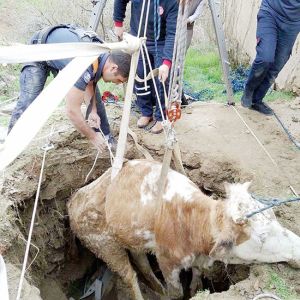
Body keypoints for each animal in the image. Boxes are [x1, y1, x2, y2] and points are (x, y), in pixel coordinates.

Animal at [67, 158, 300, 298]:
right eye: (262, 236)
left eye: (274, 215)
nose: (298, 248)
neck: (194, 224)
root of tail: (74, 199)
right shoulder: (167, 261)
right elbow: (177, 291)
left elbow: (196, 276)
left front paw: (195, 289)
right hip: (103, 245)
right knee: (129, 275)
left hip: (130, 237)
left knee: (141, 262)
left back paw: (156, 287)